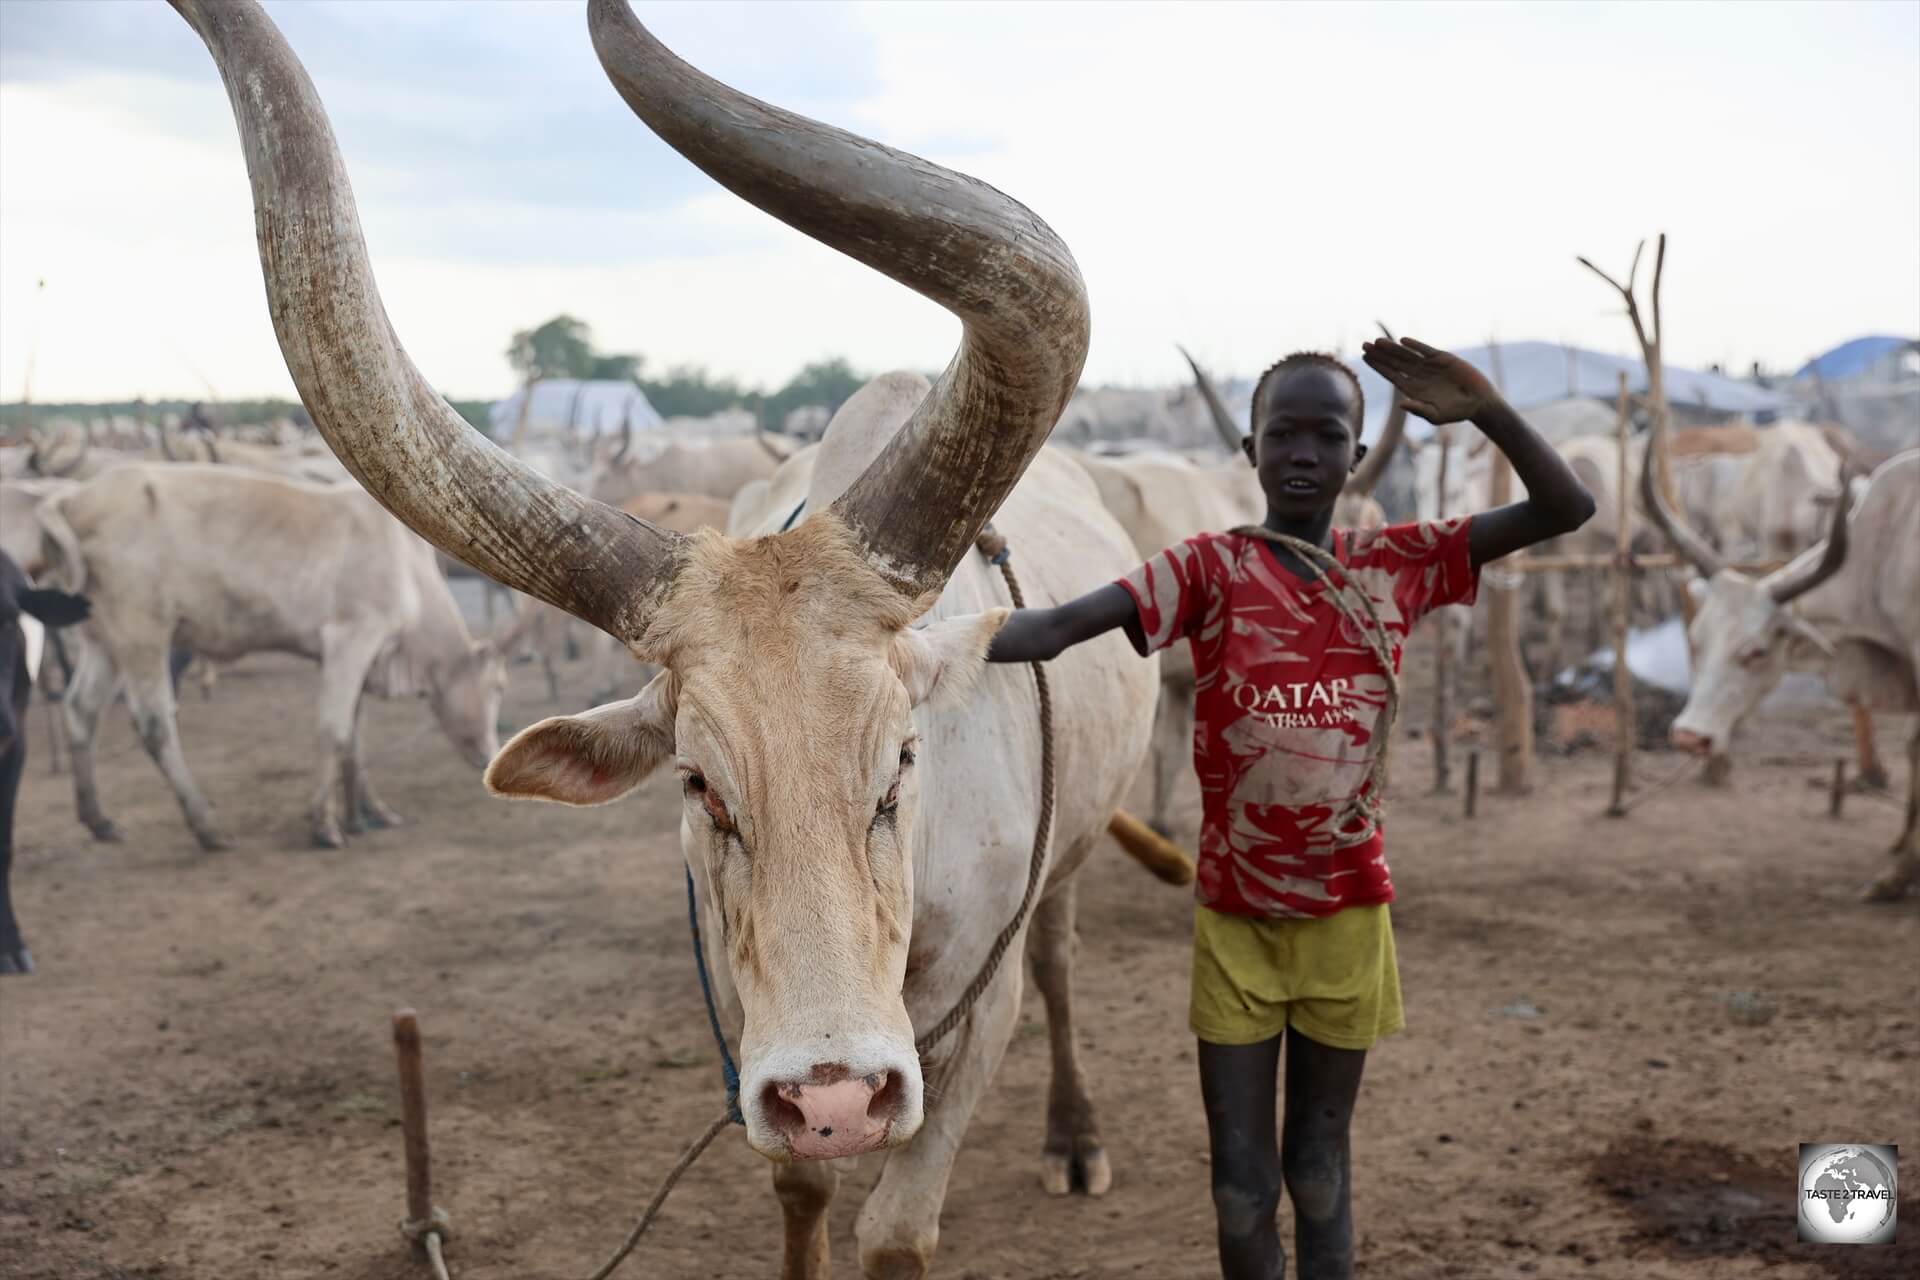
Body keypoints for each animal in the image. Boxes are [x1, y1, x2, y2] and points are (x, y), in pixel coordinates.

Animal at [36, 462, 506, 852]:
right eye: (496, 689)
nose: (491, 754)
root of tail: (75, 498)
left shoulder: (353, 653)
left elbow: (356, 736)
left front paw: (368, 813)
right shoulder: (351, 637)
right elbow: (334, 730)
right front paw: (325, 824)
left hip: (103, 641)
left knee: (81, 709)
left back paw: (98, 819)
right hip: (143, 635)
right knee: (154, 725)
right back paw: (207, 826)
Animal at [180, 2, 1159, 1280]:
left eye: (902, 757)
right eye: (697, 780)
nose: (838, 1093)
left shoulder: (968, 1021)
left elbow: (896, 1228)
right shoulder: (748, 1028)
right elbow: (799, 1185)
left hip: (1067, 871)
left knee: (1059, 960)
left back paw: (1076, 1135)